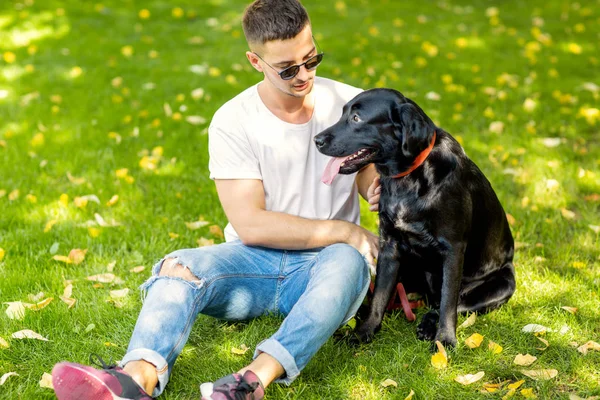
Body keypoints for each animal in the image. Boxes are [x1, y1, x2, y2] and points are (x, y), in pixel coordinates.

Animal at [314, 88, 516, 346]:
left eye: (357, 118)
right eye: (342, 114)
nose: (316, 140)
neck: (408, 178)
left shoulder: (453, 249)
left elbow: (449, 302)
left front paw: (445, 340)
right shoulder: (389, 246)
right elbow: (380, 296)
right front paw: (364, 332)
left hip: (502, 284)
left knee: (446, 304)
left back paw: (429, 326)